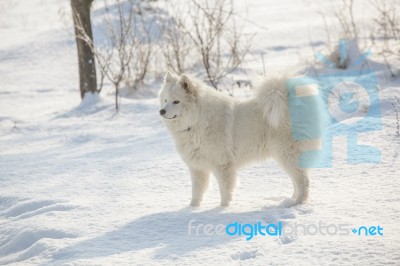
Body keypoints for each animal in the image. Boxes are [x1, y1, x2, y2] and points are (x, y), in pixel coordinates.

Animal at [158, 71, 324, 207]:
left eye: (176, 101)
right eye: (165, 100)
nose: (161, 111)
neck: (196, 121)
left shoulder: (223, 165)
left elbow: (225, 190)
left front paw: (222, 208)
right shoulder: (197, 167)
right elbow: (197, 191)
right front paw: (192, 208)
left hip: (287, 154)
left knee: (303, 182)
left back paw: (297, 203)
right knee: (297, 181)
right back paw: (290, 200)